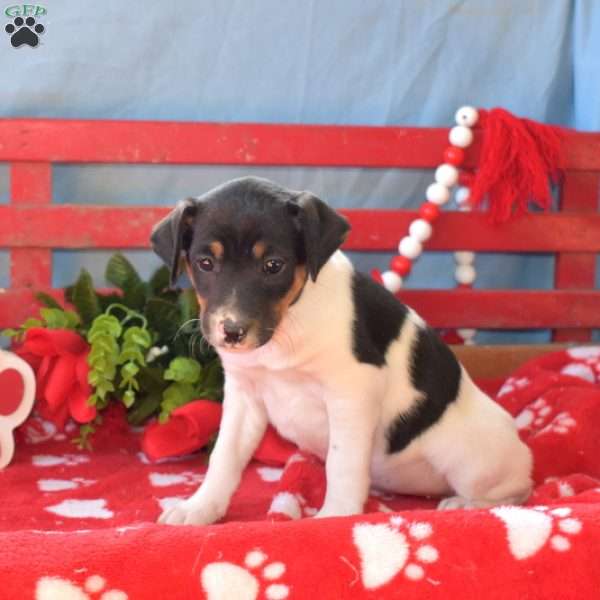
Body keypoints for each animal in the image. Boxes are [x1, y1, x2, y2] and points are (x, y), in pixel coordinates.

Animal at [152, 176, 532, 524]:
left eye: (274, 265)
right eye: (205, 263)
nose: (232, 331)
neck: (288, 323)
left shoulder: (353, 391)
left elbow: (342, 462)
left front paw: (336, 516)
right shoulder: (244, 395)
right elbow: (225, 456)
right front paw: (200, 508)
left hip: (469, 457)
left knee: (516, 490)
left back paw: (465, 504)